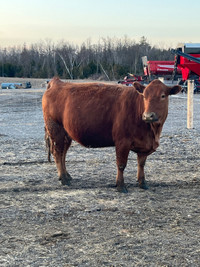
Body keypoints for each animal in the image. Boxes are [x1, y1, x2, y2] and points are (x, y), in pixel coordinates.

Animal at [42, 77, 181, 193]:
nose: (148, 116)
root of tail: (58, 82)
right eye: (144, 96)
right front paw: (120, 186)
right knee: (57, 153)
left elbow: (141, 164)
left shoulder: (144, 144)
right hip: (56, 130)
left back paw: (67, 176)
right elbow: (121, 165)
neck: (152, 131)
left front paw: (142, 183)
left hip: (66, 134)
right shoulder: (122, 142)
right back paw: (63, 178)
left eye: (163, 96)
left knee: (63, 153)